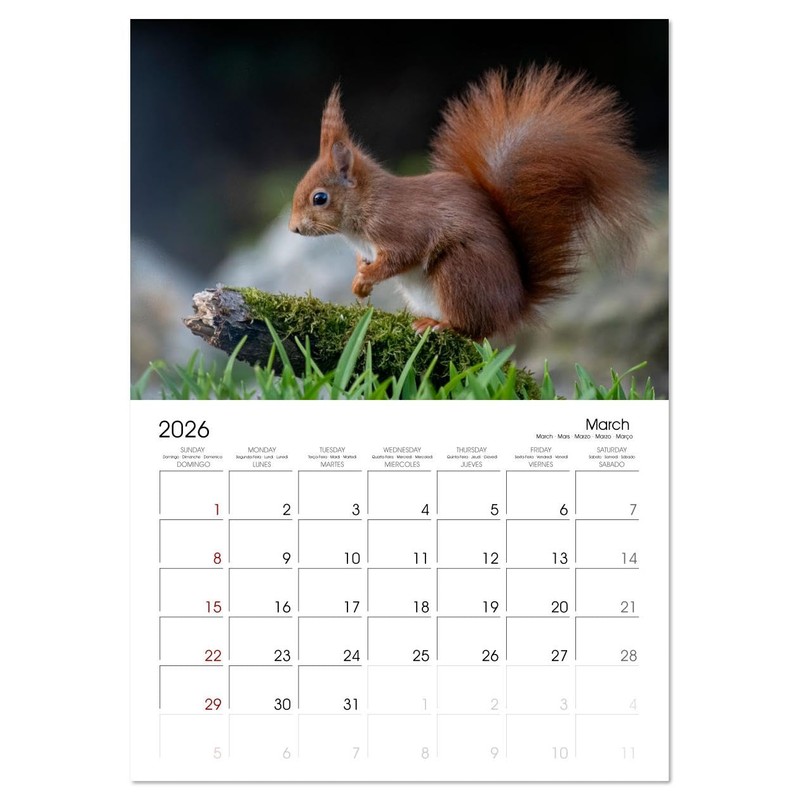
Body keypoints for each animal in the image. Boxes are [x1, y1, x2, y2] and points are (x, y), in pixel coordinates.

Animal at [289, 65, 649, 340]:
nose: (293, 229)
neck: (366, 209)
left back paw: (438, 325)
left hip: (459, 272)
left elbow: (400, 257)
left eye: (319, 198)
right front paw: (360, 282)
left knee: (472, 329)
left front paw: (366, 278)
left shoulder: (401, 226)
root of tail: (512, 309)